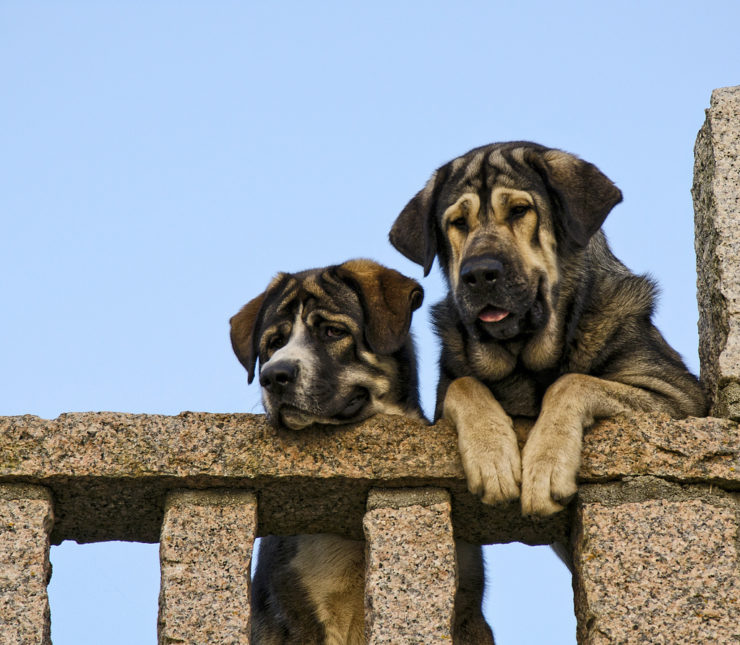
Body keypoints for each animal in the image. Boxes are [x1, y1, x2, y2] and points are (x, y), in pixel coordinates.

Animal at [388, 140, 704, 512]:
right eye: (458, 222)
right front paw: (492, 457)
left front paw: (546, 467)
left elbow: (572, 382)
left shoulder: (677, 397)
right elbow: (464, 385)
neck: (526, 359)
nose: (478, 274)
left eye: (519, 210)